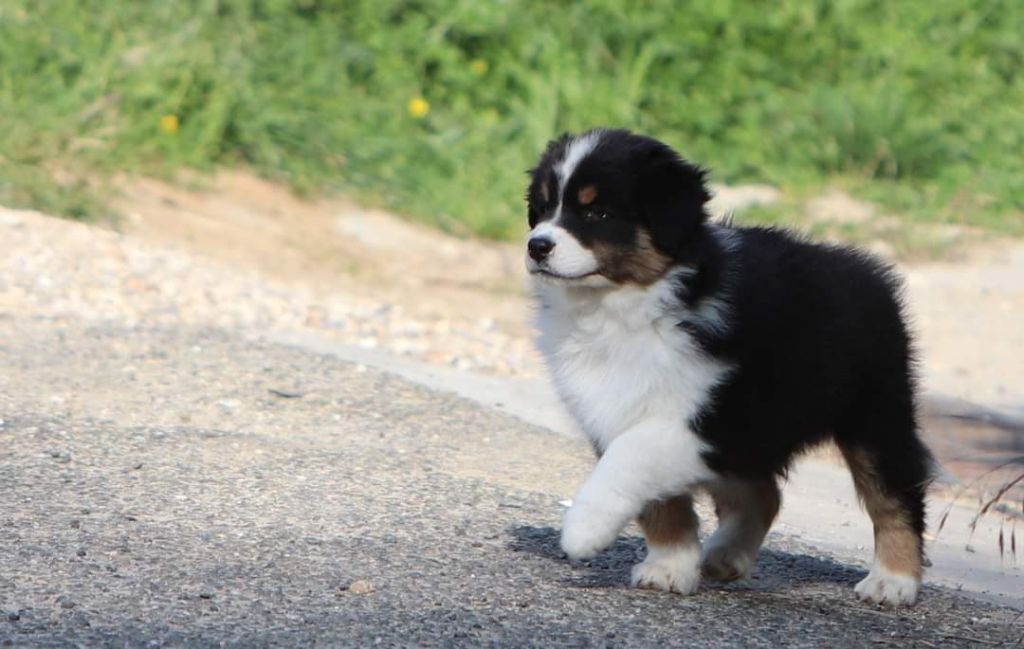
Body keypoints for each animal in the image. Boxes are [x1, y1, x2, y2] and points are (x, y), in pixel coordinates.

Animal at [528, 127, 937, 606]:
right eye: (542, 208)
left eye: (598, 212)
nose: (537, 245)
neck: (621, 307)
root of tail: (868, 270)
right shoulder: (615, 408)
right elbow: (658, 502)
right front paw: (668, 567)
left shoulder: (707, 415)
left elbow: (631, 456)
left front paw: (583, 529)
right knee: (764, 493)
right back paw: (725, 554)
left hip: (874, 416)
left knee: (894, 497)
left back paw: (893, 580)